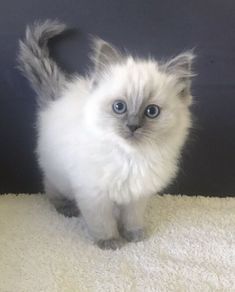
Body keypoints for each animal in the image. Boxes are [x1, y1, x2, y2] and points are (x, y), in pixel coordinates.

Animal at [17, 20, 196, 249]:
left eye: (151, 111)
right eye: (119, 107)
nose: (132, 126)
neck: (129, 158)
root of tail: (59, 96)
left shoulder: (137, 195)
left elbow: (132, 218)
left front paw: (134, 235)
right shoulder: (94, 194)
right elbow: (103, 222)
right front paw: (110, 242)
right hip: (61, 177)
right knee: (50, 186)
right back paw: (65, 208)